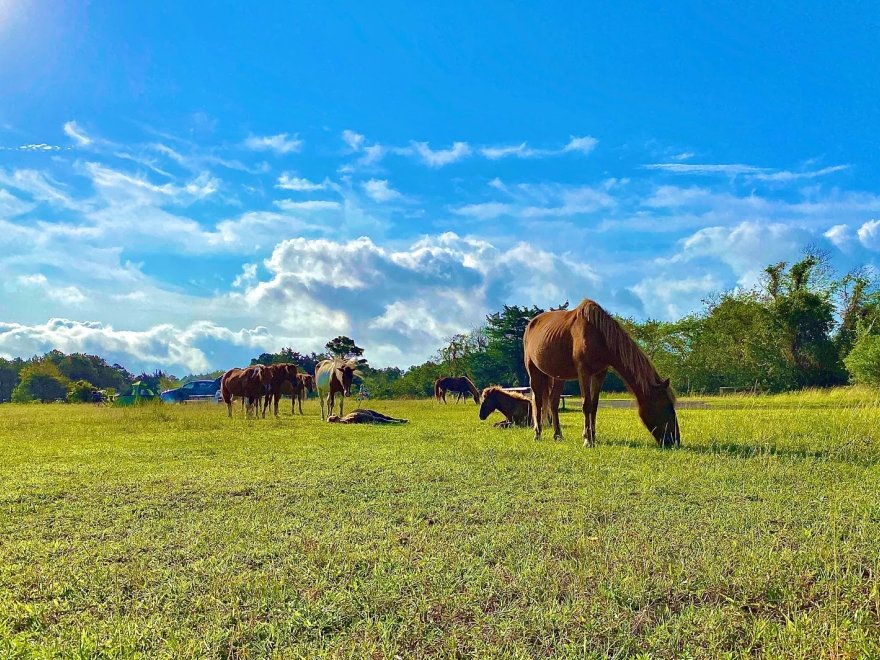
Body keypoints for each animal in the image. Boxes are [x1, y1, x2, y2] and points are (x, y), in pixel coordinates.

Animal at [524, 300, 680, 448]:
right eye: (667, 407)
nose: (675, 440)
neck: (599, 335)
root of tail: (531, 323)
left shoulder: (599, 374)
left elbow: (594, 405)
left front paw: (592, 437)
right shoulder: (583, 372)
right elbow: (586, 405)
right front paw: (587, 440)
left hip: (558, 376)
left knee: (553, 402)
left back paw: (558, 435)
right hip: (533, 370)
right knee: (537, 401)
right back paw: (537, 434)